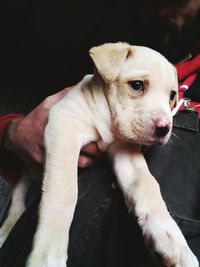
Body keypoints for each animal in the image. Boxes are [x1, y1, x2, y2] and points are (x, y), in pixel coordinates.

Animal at [0, 43, 198, 266]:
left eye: (172, 95)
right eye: (137, 85)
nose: (165, 129)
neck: (108, 120)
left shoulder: (124, 151)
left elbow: (147, 185)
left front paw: (172, 239)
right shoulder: (64, 125)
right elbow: (64, 192)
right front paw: (48, 254)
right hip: (29, 170)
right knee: (18, 193)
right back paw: (7, 227)